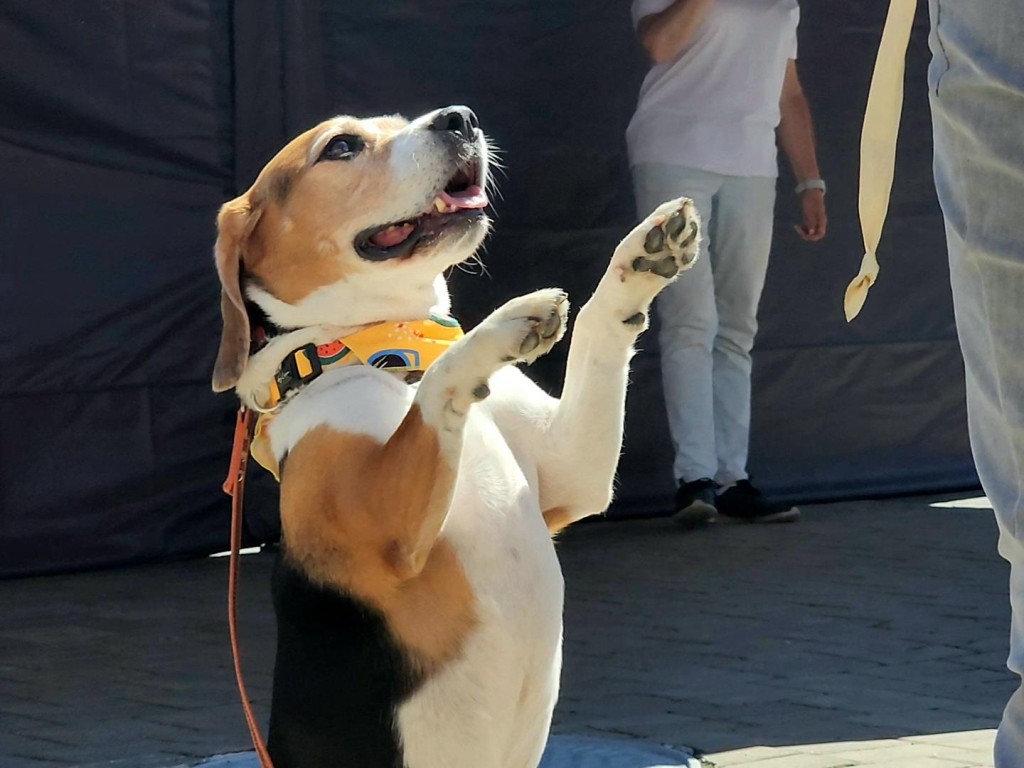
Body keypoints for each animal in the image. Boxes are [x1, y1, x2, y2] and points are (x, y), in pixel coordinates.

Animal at [211, 103, 700, 768]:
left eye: (398, 120)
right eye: (341, 147)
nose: (460, 118)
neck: (384, 351)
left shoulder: (574, 475)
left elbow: (599, 329)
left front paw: (640, 262)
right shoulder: (385, 535)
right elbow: (444, 379)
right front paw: (502, 325)